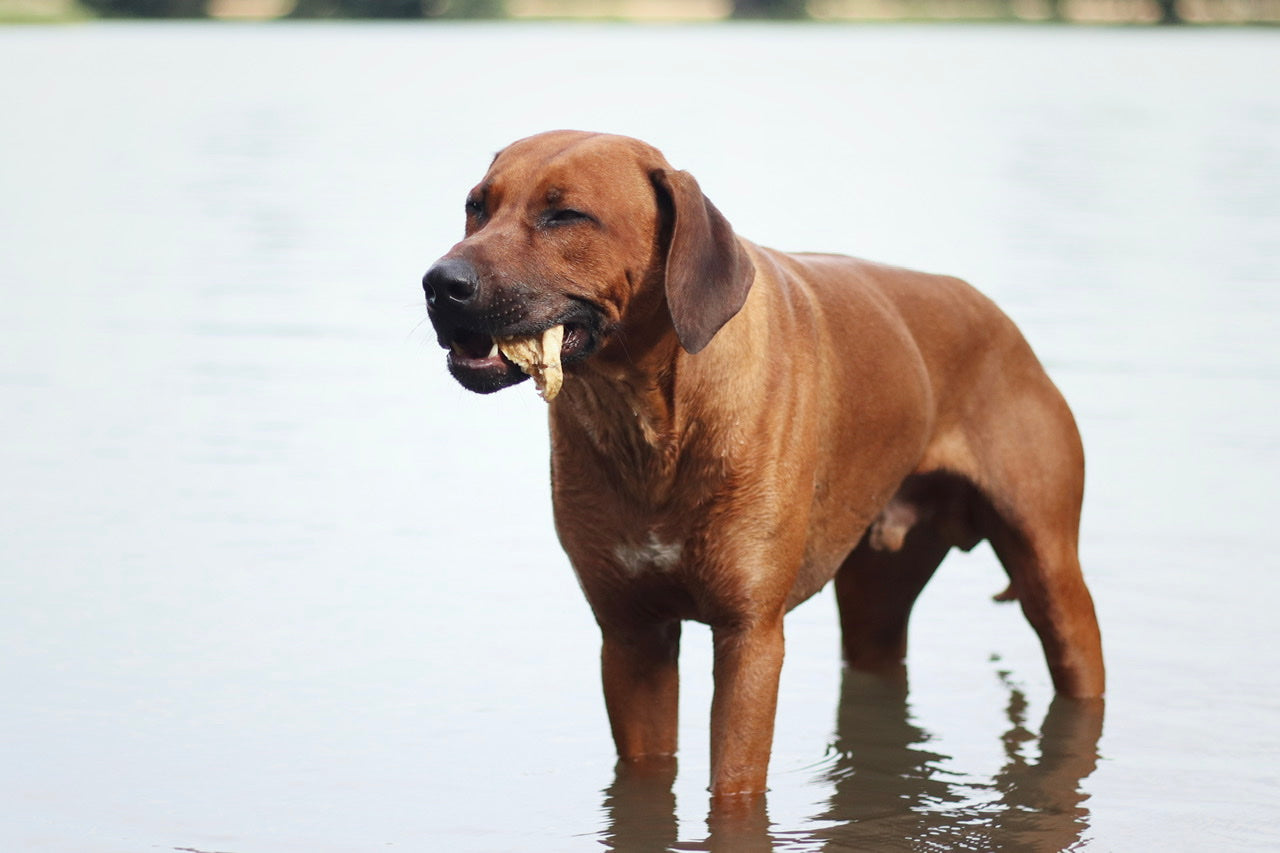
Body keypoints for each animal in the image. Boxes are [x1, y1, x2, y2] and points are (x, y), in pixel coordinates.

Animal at [424, 129, 1105, 794]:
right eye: (476, 206)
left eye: (564, 214)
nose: (440, 284)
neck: (651, 422)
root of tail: (998, 318)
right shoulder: (630, 634)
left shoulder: (749, 636)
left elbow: (734, 783)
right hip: (877, 596)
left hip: (1051, 576)